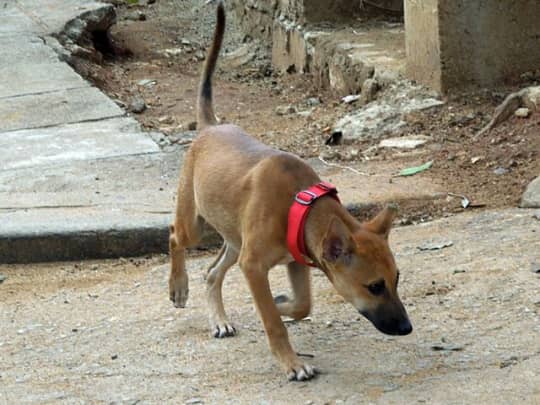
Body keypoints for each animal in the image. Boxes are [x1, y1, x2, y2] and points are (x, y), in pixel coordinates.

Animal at [167, 0, 412, 378]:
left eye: (397, 278)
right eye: (374, 286)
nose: (407, 328)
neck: (299, 203)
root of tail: (210, 127)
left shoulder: (295, 260)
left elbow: (301, 305)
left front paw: (281, 302)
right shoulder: (253, 266)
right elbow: (272, 320)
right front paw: (291, 361)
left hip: (235, 240)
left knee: (211, 273)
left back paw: (219, 319)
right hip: (195, 224)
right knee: (174, 238)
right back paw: (178, 287)